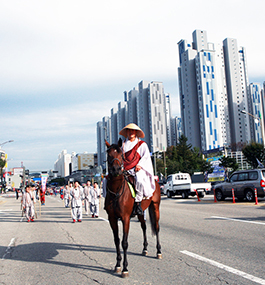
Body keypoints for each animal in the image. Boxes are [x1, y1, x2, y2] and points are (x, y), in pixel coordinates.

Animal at [103, 139, 161, 276]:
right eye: (108, 154)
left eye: (121, 154)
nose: (116, 169)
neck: (116, 190)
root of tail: (155, 181)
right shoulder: (112, 218)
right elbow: (117, 240)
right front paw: (118, 265)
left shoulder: (125, 218)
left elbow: (124, 243)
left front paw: (125, 268)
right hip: (140, 213)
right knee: (144, 227)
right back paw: (145, 248)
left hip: (155, 206)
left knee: (156, 227)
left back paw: (158, 251)